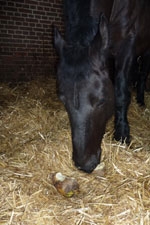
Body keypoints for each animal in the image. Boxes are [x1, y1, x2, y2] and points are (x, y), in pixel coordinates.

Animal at [54, 0, 150, 173]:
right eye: (62, 100)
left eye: (101, 101)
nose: (85, 165)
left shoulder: (127, 46)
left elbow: (121, 93)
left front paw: (122, 135)